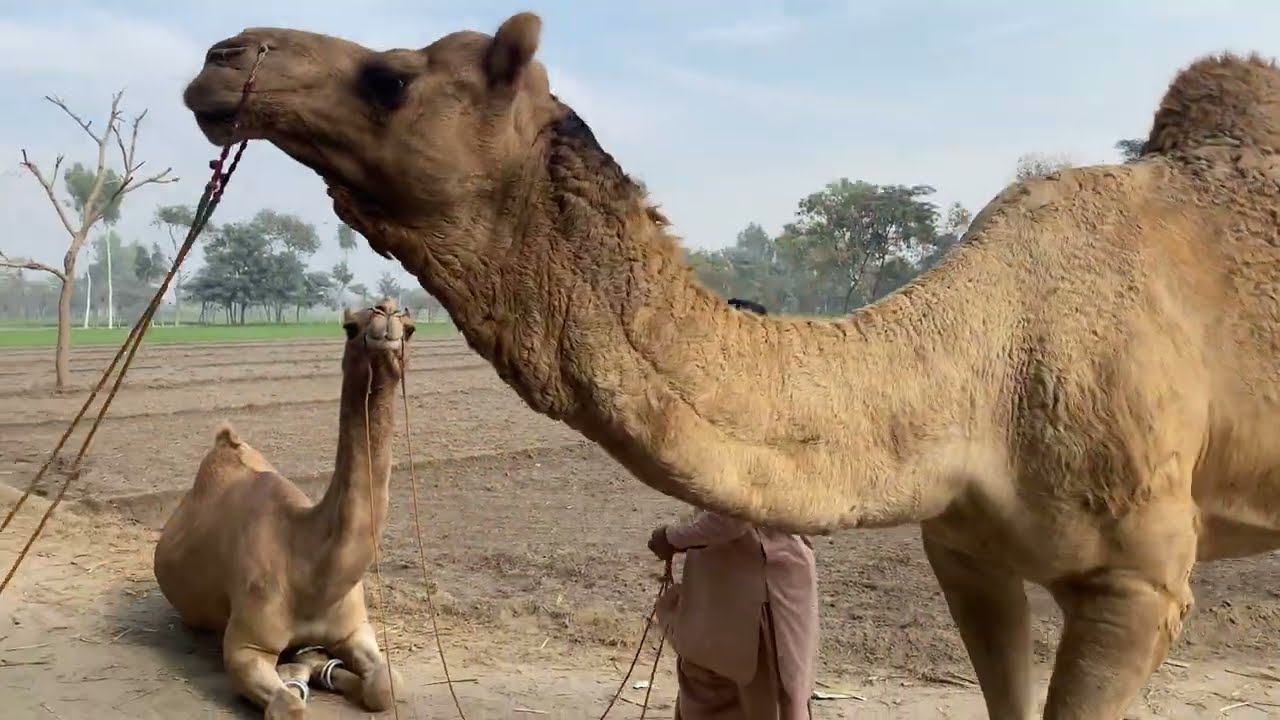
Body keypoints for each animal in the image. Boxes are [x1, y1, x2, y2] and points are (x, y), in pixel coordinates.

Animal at [153, 300, 414, 719]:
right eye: (348, 326)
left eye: (410, 328)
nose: (385, 310)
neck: (310, 573)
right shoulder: (246, 646)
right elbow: (289, 706)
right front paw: (297, 671)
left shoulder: (355, 628)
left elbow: (386, 686)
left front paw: (321, 667)